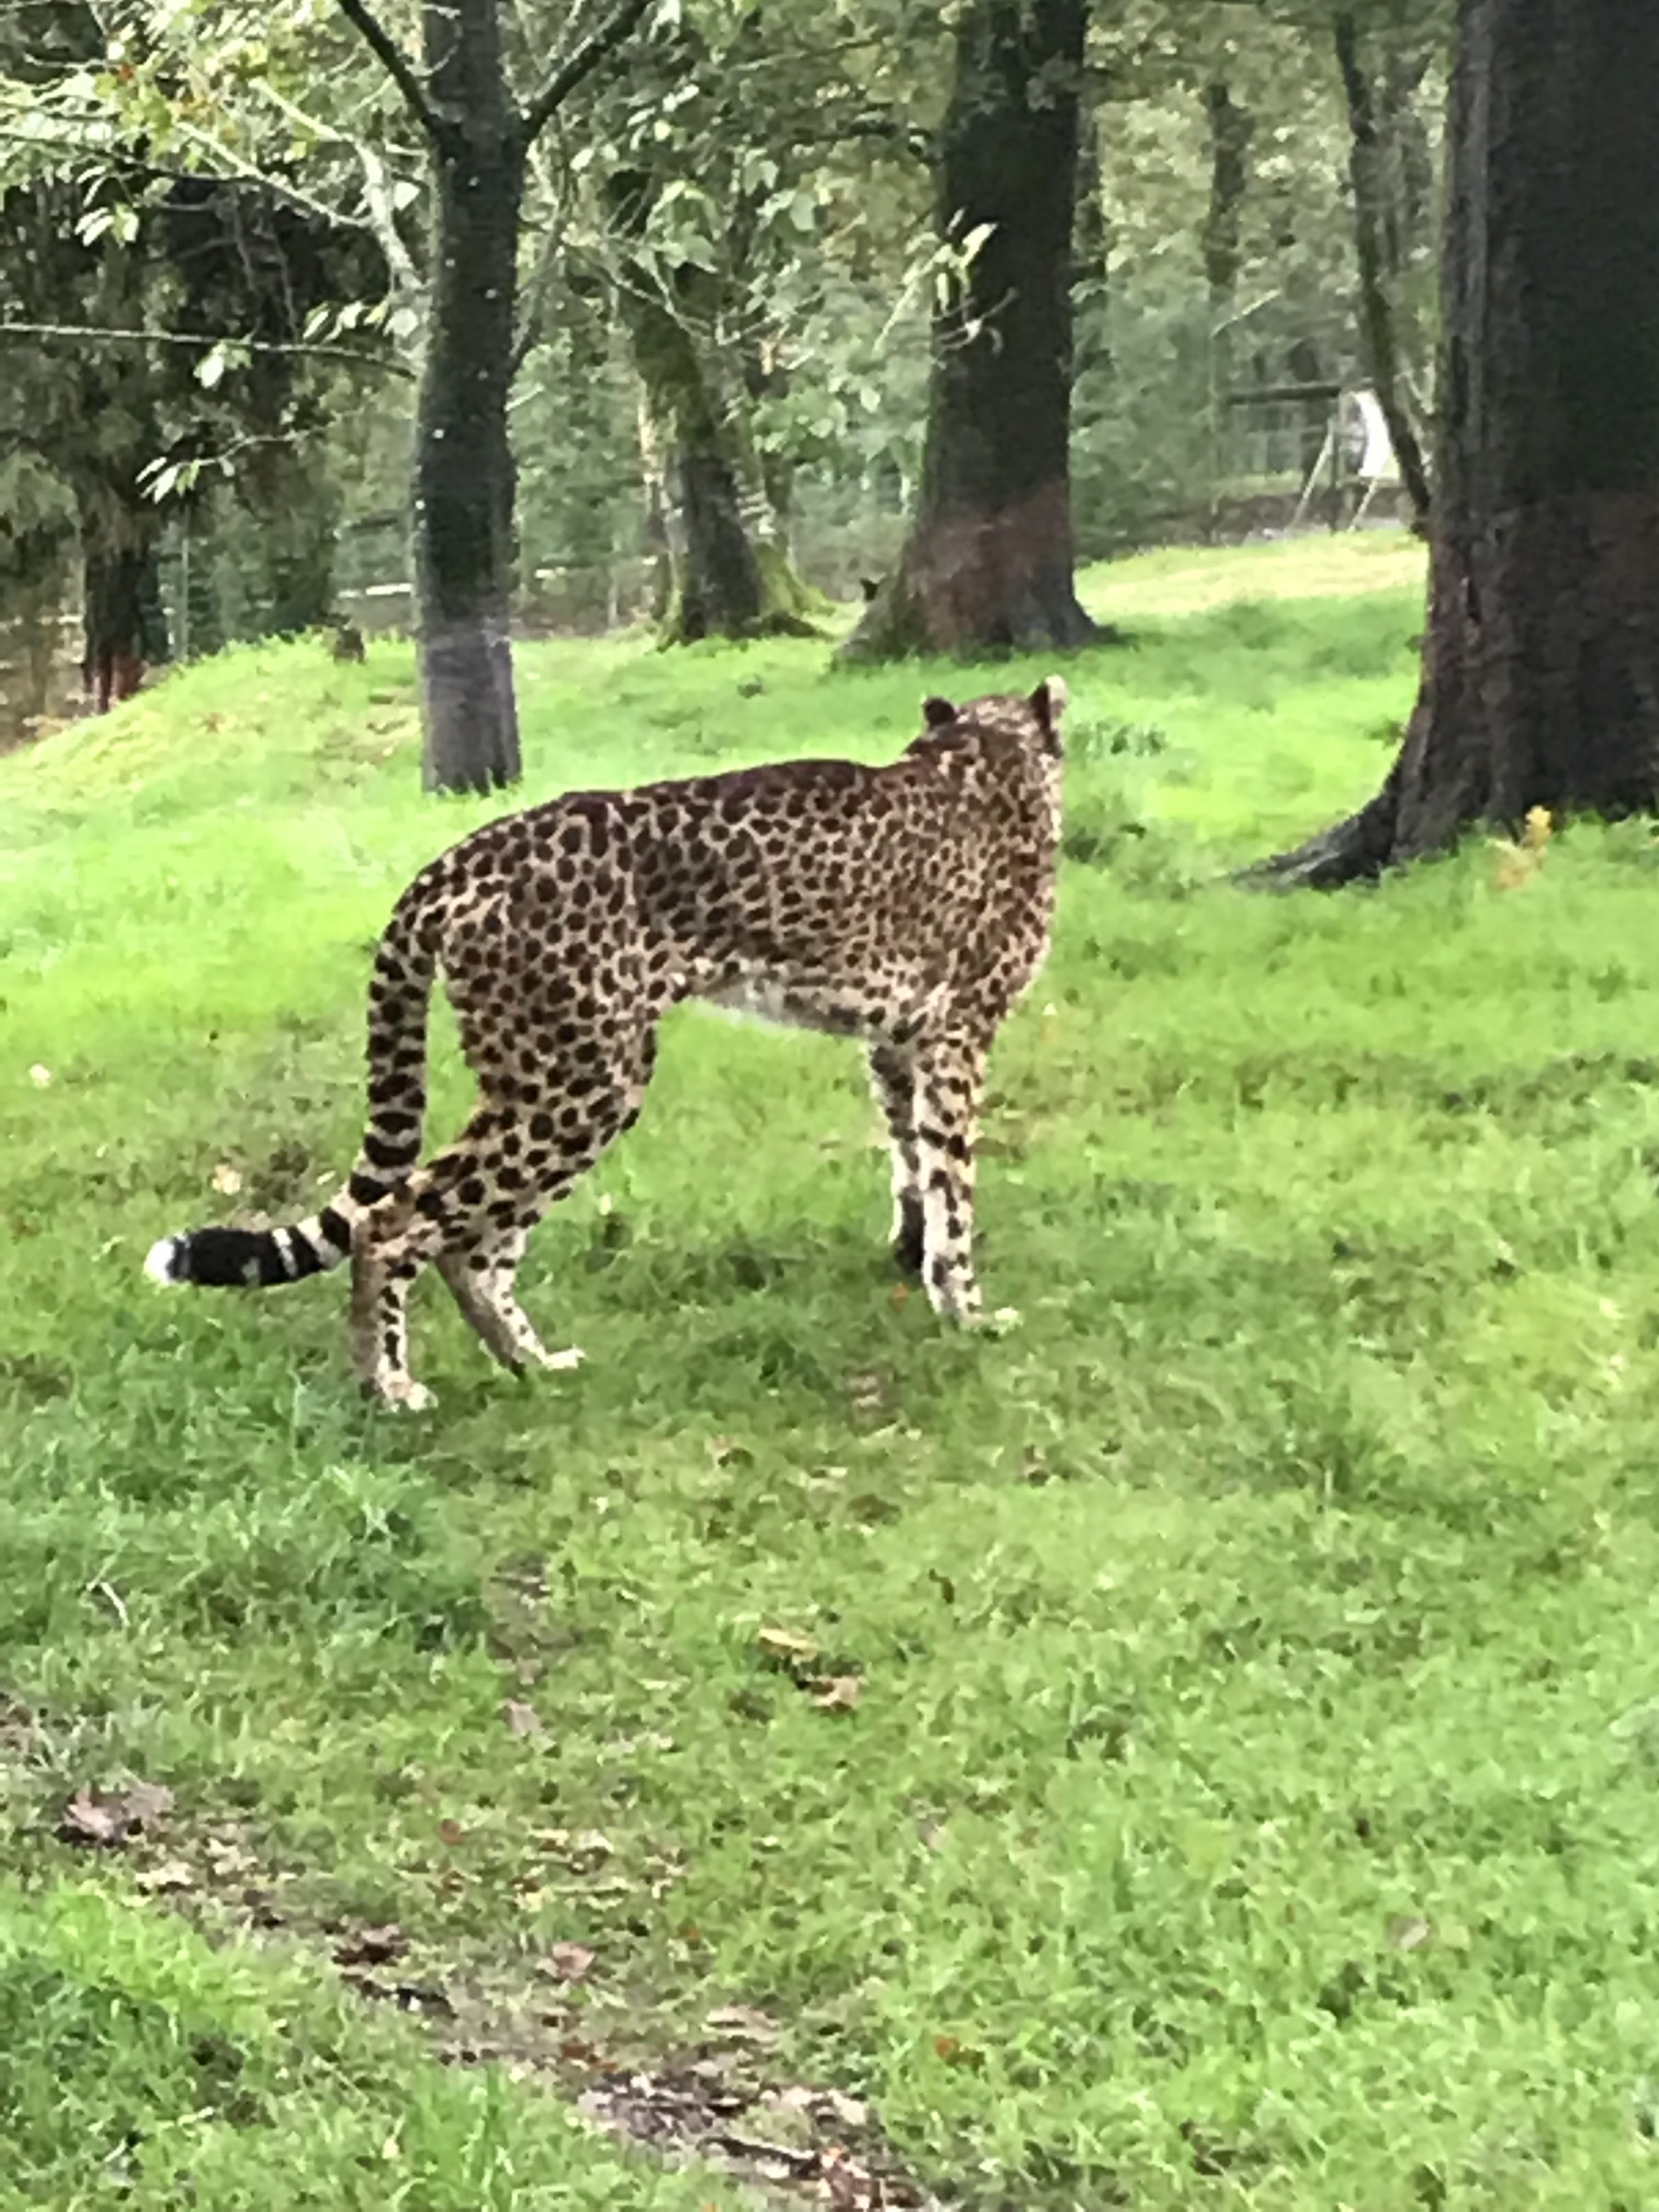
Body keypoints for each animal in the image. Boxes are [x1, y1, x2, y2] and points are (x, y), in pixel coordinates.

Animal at [144, 676, 1067, 1410]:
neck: (985, 751)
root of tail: (467, 850)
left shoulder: (893, 1042)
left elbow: (910, 1160)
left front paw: (910, 1259)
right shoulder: (957, 1037)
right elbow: (954, 1183)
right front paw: (967, 1310)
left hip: (563, 1082)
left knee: (472, 1247)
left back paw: (534, 1364)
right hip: (582, 1081)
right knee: (397, 1223)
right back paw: (392, 1385)